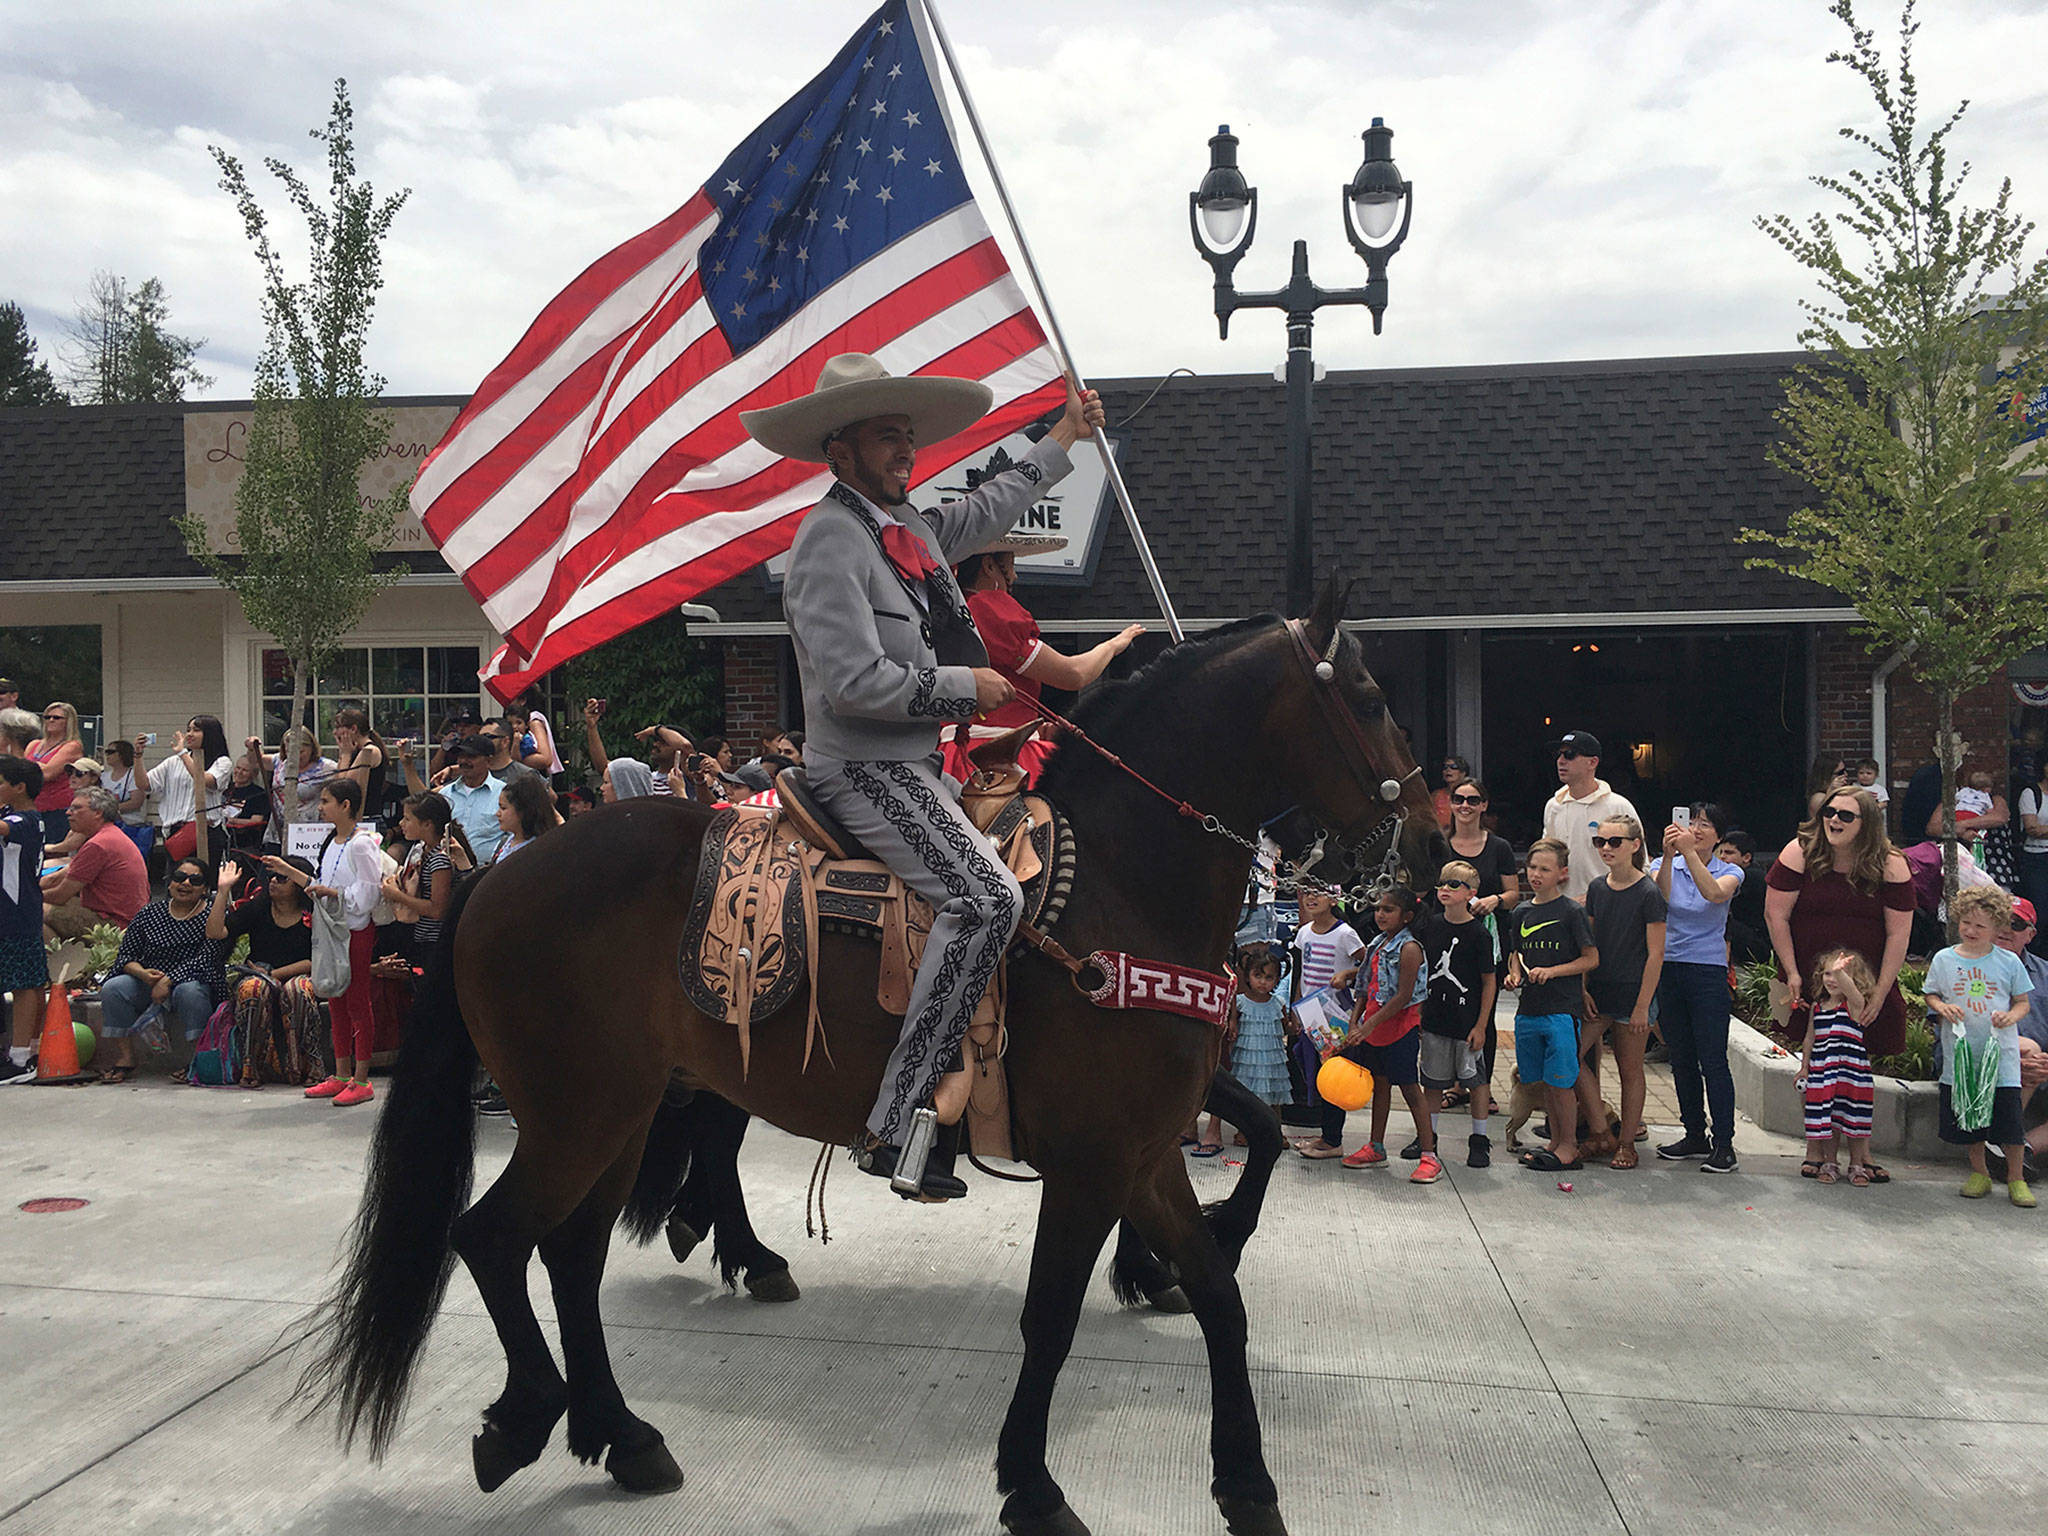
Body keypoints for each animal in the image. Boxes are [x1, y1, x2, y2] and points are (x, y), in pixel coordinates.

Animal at [299, 581, 1441, 1536]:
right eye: (1371, 695)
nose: (1427, 849)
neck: (1122, 882)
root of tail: (498, 874)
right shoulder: (1091, 1161)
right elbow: (1050, 1318)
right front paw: (1032, 1485)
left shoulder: (1146, 1151)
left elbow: (1220, 1289)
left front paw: (1244, 1479)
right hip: (580, 1112)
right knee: (493, 1237)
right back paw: (536, 1411)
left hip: (617, 1113)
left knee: (572, 1255)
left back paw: (625, 1431)